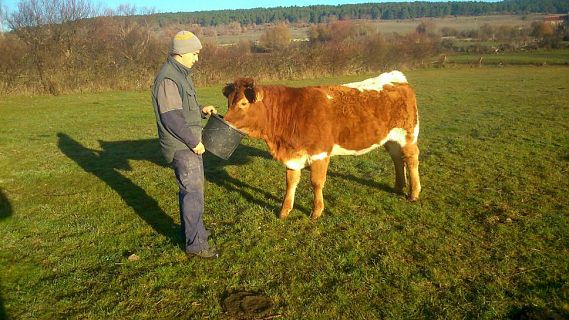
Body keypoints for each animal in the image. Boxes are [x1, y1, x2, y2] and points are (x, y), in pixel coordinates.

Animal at [224, 71, 420, 219]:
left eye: (243, 103)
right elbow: (291, 182)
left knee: (411, 160)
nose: (224, 121)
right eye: (229, 102)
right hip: (391, 139)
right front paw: (284, 211)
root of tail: (396, 78)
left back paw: (413, 193)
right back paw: (398, 186)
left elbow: (316, 183)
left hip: (408, 135)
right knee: (397, 158)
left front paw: (316, 211)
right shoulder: (294, 156)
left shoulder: (319, 153)